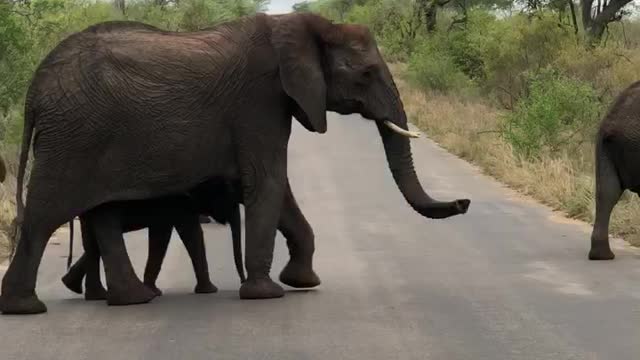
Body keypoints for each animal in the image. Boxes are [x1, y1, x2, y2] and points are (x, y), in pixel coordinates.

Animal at [62, 179, 245, 302]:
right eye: (227, 193)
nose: (242, 281)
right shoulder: (172, 201)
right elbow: (172, 233)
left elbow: (183, 233)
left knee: (92, 244)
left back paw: (77, 288)